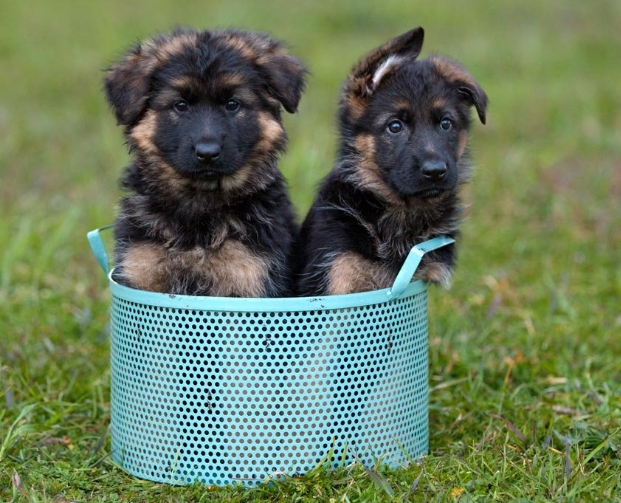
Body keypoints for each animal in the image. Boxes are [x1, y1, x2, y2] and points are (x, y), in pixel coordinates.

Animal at [107, 29, 310, 298]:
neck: (200, 203)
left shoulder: (248, 275)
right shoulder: (141, 268)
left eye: (232, 104)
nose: (207, 153)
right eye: (180, 105)